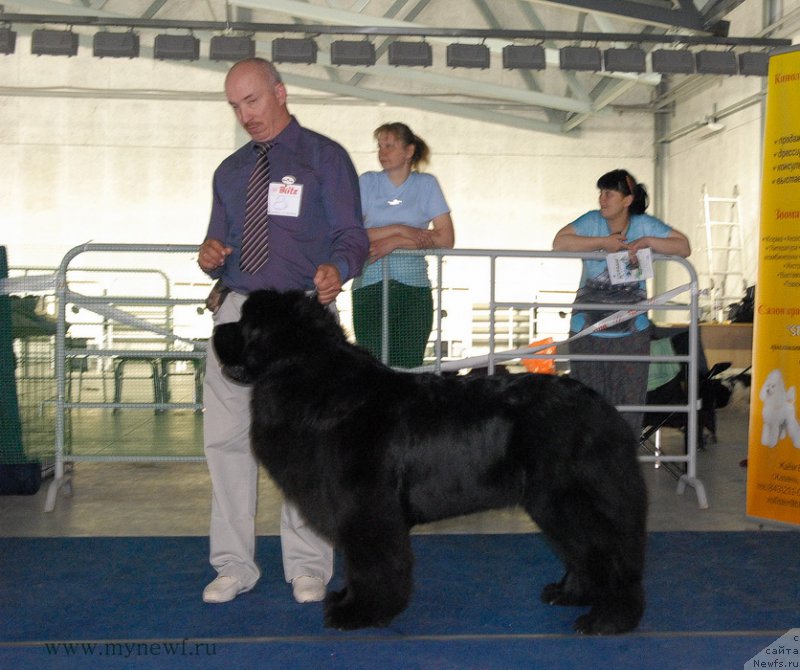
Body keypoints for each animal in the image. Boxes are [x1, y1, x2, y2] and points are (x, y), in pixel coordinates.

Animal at [214, 288, 648, 636]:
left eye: (247, 324)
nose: (217, 331)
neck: (313, 383)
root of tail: (602, 409)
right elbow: (359, 564)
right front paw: (346, 601)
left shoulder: (368, 511)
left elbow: (373, 564)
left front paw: (360, 613)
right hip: (553, 504)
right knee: (586, 551)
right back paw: (570, 594)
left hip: (566, 498)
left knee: (609, 554)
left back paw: (609, 619)